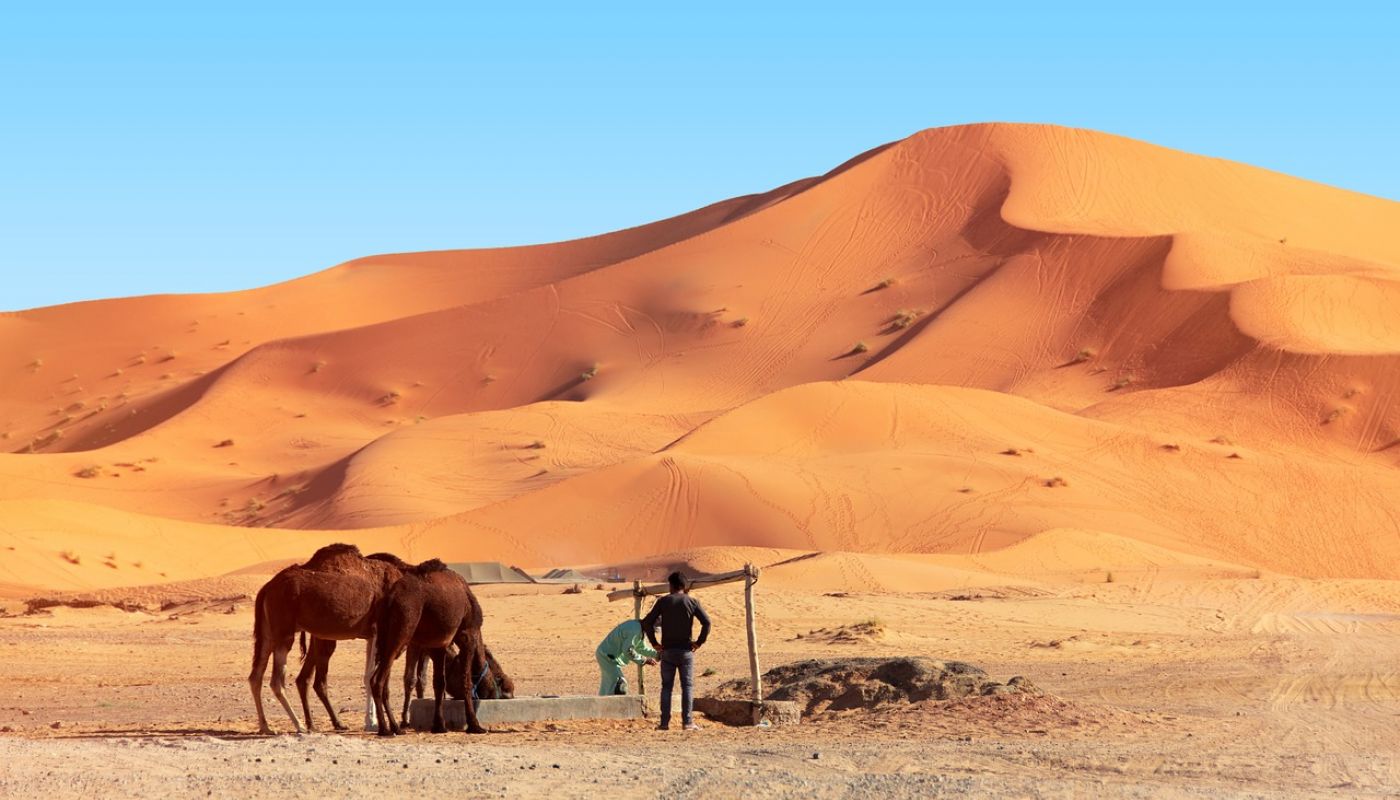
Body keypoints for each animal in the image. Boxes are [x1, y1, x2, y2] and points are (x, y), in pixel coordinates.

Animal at [247, 544, 406, 735]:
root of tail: (267, 588)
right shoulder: (377, 631)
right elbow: (370, 676)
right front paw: (374, 723)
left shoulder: (373, 635)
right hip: (283, 630)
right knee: (277, 681)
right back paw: (300, 725)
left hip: (268, 632)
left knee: (256, 676)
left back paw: (266, 727)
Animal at [369, 559, 486, 736]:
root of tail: (390, 597)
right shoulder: (468, 635)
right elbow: (466, 680)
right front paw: (475, 725)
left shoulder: (438, 645)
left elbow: (439, 683)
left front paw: (439, 725)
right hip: (403, 628)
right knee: (377, 680)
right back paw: (385, 729)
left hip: (383, 634)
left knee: (381, 680)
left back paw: (396, 727)